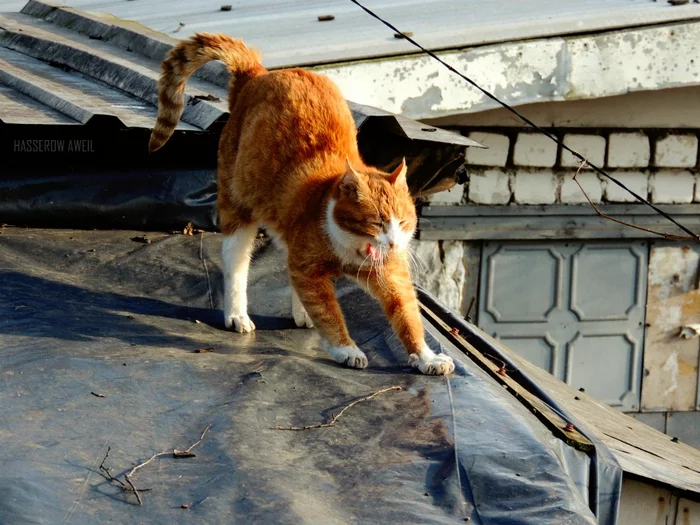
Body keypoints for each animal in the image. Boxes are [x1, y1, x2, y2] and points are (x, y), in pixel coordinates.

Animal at [150, 32, 454, 374]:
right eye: (377, 222)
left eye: (403, 222)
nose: (393, 243)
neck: (350, 249)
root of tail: (258, 74)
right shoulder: (308, 269)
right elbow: (329, 314)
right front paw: (346, 349)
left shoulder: (391, 278)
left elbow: (408, 316)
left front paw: (426, 357)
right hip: (238, 208)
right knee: (235, 263)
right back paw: (237, 315)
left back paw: (300, 313)